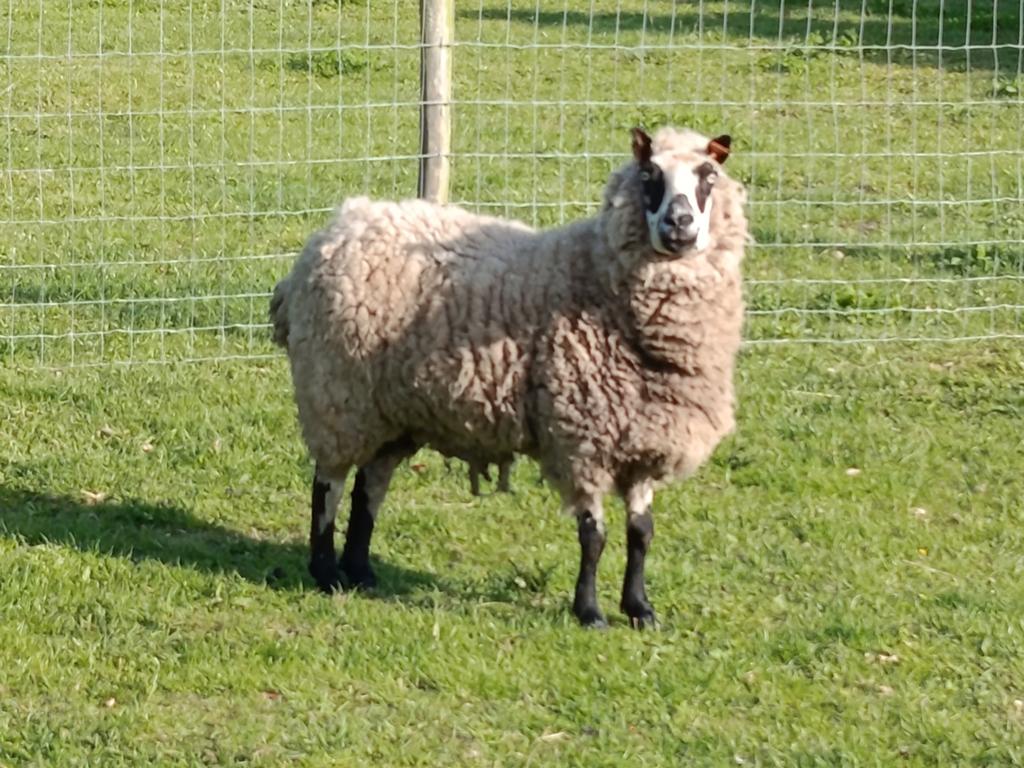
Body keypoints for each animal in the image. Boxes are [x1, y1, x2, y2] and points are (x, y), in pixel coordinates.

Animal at [270, 126, 746, 628]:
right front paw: (590, 612)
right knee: (329, 484)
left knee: (368, 486)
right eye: (649, 175)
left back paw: (360, 571)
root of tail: (337, 228)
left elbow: (642, 532)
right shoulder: (580, 438)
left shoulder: (642, 438)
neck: (595, 277)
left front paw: (640, 608)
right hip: (338, 395)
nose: (679, 224)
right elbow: (593, 536)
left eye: (709, 176)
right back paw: (326, 572)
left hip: (396, 409)